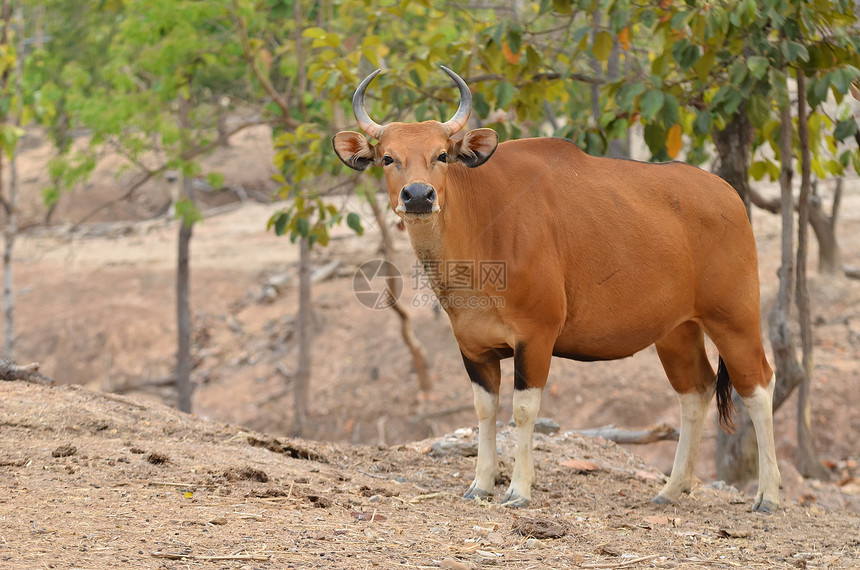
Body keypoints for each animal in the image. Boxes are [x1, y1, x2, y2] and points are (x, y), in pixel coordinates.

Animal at [332, 65, 784, 510]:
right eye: (388, 158)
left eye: (441, 155)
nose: (418, 195)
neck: (481, 235)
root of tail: (729, 196)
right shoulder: (473, 346)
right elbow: (484, 409)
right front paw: (480, 483)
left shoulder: (536, 336)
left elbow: (523, 410)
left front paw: (518, 489)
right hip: (676, 330)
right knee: (696, 390)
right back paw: (672, 489)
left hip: (734, 315)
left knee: (759, 385)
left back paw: (768, 495)